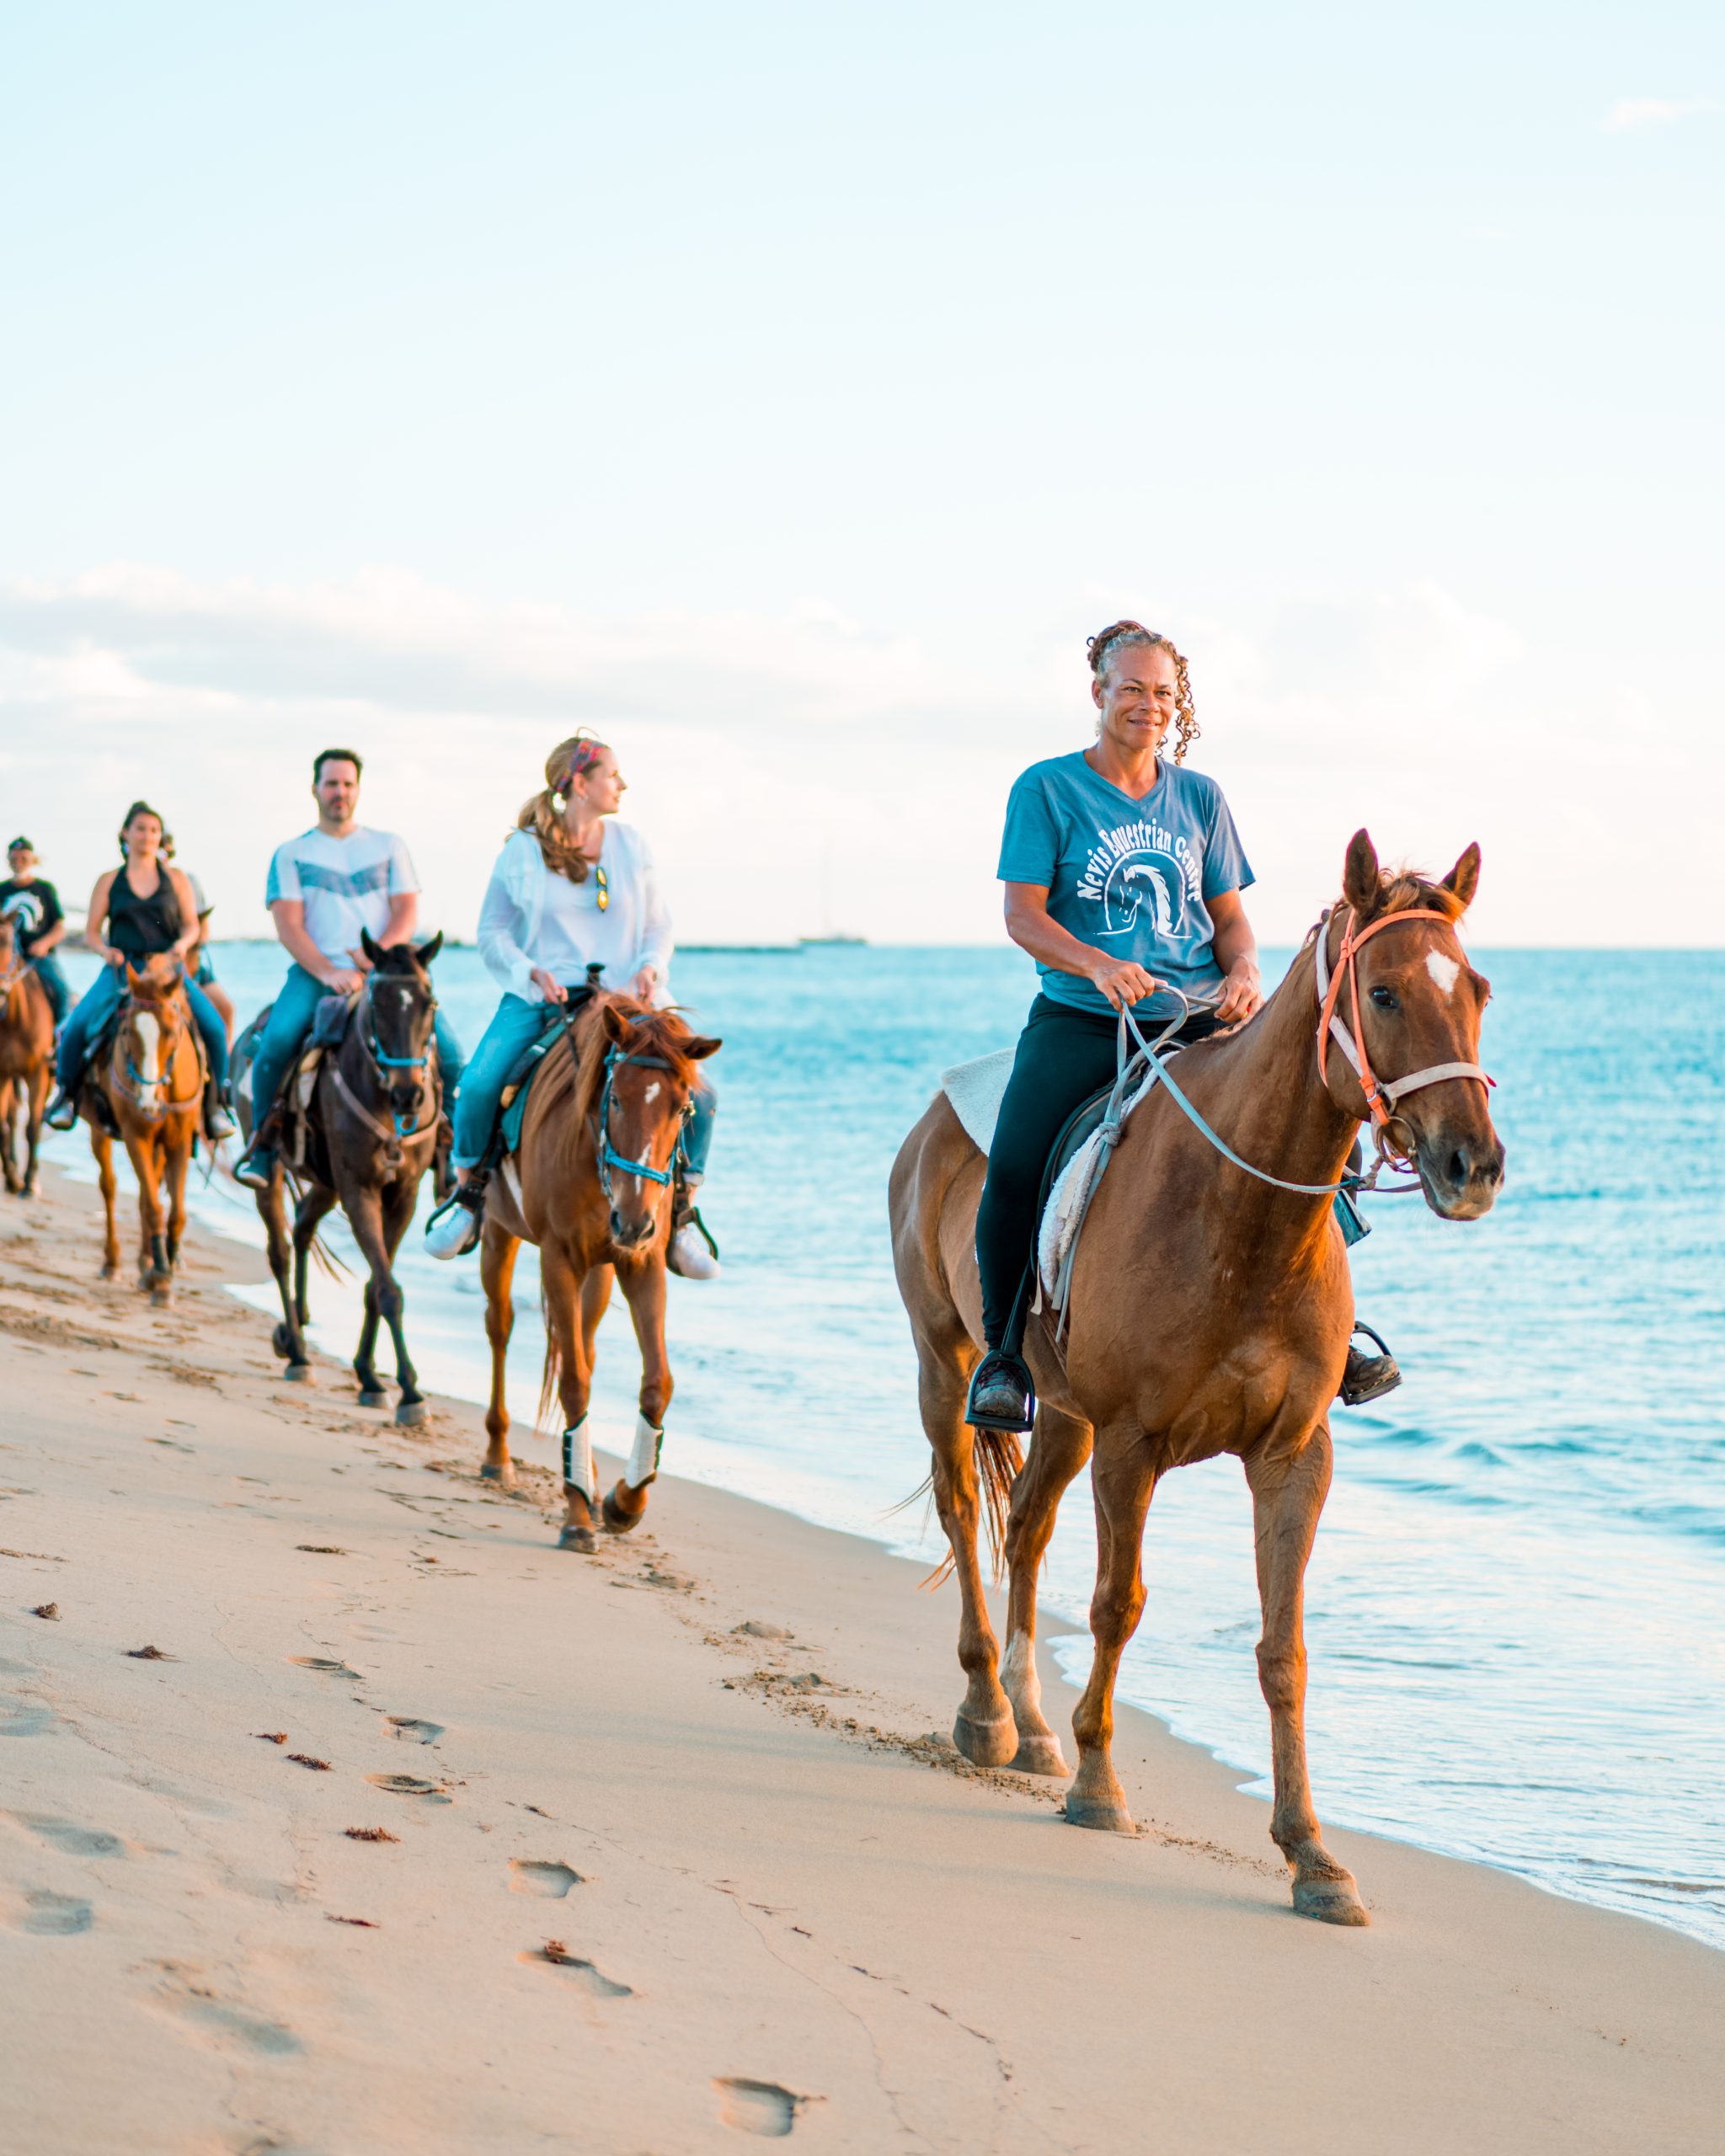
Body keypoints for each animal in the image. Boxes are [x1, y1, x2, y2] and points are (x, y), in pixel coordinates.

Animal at [83, 957, 206, 1294]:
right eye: (127, 1031)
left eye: (172, 1031)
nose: (147, 1101)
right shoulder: (135, 1136)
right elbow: (153, 1207)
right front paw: (161, 1276)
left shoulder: (178, 1142)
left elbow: (175, 1213)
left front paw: (164, 1265)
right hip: (100, 1131)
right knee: (110, 1187)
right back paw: (113, 1262)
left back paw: (146, 1260)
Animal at [474, 987, 715, 1552]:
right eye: (616, 1099)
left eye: (682, 1109)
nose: (634, 1219)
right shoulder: (558, 1258)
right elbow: (574, 1382)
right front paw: (578, 1516)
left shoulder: (641, 1262)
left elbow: (657, 1383)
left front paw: (624, 1501)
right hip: (498, 1232)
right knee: (501, 1328)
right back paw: (499, 1456)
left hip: (602, 1272)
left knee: (584, 1344)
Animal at [896, 832, 1500, 1931]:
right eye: (1382, 993)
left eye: (1474, 987)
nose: (1469, 1163)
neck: (1242, 1219)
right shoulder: (1133, 1446)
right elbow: (1116, 1603)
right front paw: (1100, 1786)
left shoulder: (1293, 1457)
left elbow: (1281, 1647)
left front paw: (1311, 1855)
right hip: (945, 1362)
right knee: (966, 1511)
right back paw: (987, 1712)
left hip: (1065, 1419)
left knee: (1026, 1528)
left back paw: (1033, 1725)